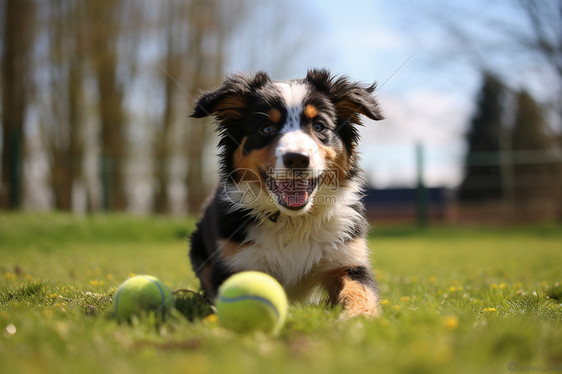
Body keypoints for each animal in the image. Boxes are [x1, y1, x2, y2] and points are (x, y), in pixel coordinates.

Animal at [188, 69, 380, 316]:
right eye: (266, 128)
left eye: (319, 126)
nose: (297, 159)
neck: (293, 221)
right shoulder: (235, 262)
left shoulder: (348, 261)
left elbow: (360, 291)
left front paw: (356, 318)